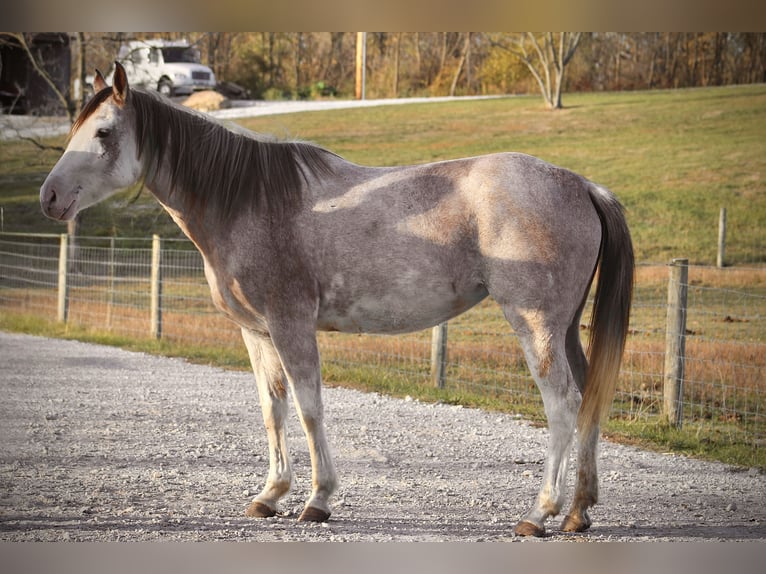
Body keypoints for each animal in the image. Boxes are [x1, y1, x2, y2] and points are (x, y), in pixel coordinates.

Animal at [39, 64, 632, 540]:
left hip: (535, 325)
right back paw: (578, 511)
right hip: (566, 329)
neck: (248, 202)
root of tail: (582, 185)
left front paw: (317, 500)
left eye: (104, 131)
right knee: (589, 400)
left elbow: (308, 409)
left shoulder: (290, 325)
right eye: (75, 129)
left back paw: (540, 512)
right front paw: (270, 494)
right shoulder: (256, 332)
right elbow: (273, 409)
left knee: (562, 406)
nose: (49, 197)